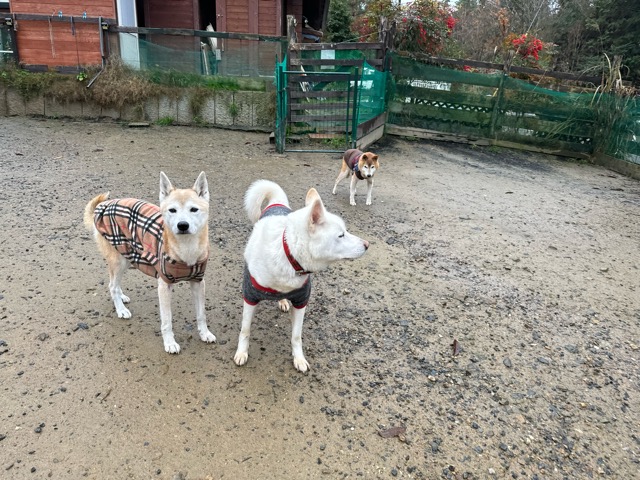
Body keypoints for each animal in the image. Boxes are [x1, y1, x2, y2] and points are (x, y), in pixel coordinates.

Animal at [83, 172, 216, 354]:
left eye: (194, 209)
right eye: (172, 210)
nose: (182, 225)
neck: (187, 248)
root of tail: (103, 205)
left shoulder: (198, 281)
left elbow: (201, 314)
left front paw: (205, 333)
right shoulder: (164, 286)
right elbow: (167, 321)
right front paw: (169, 342)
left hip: (127, 256)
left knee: (114, 284)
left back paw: (121, 297)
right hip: (119, 261)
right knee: (112, 286)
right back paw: (121, 309)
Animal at [234, 179, 369, 372]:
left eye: (345, 231)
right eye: (341, 235)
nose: (367, 244)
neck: (289, 254)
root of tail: (278, 203)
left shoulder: (301, 301)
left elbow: (296, 336)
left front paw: (299, 358)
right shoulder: (250, 296)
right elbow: (245, 330)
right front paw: (242, 352)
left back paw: (282, 301)